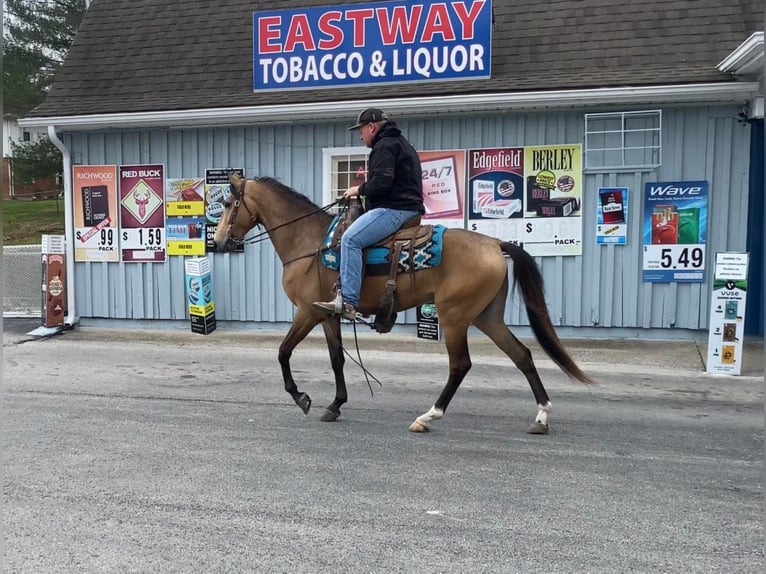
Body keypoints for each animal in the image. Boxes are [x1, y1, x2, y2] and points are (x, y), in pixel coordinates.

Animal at [213, 173, 596, 434]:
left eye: (229, 205)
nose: (218, 242)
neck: (309, 242)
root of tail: (494, 244)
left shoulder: (307, 311)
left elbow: (283, 352)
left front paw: (301, 397)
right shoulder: (327, 315)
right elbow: (337, 359)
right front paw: (335, 405)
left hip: (455, 316)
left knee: (460, 365)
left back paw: (428, 416)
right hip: (488, 317)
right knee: (523, 356)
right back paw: (541, 416)